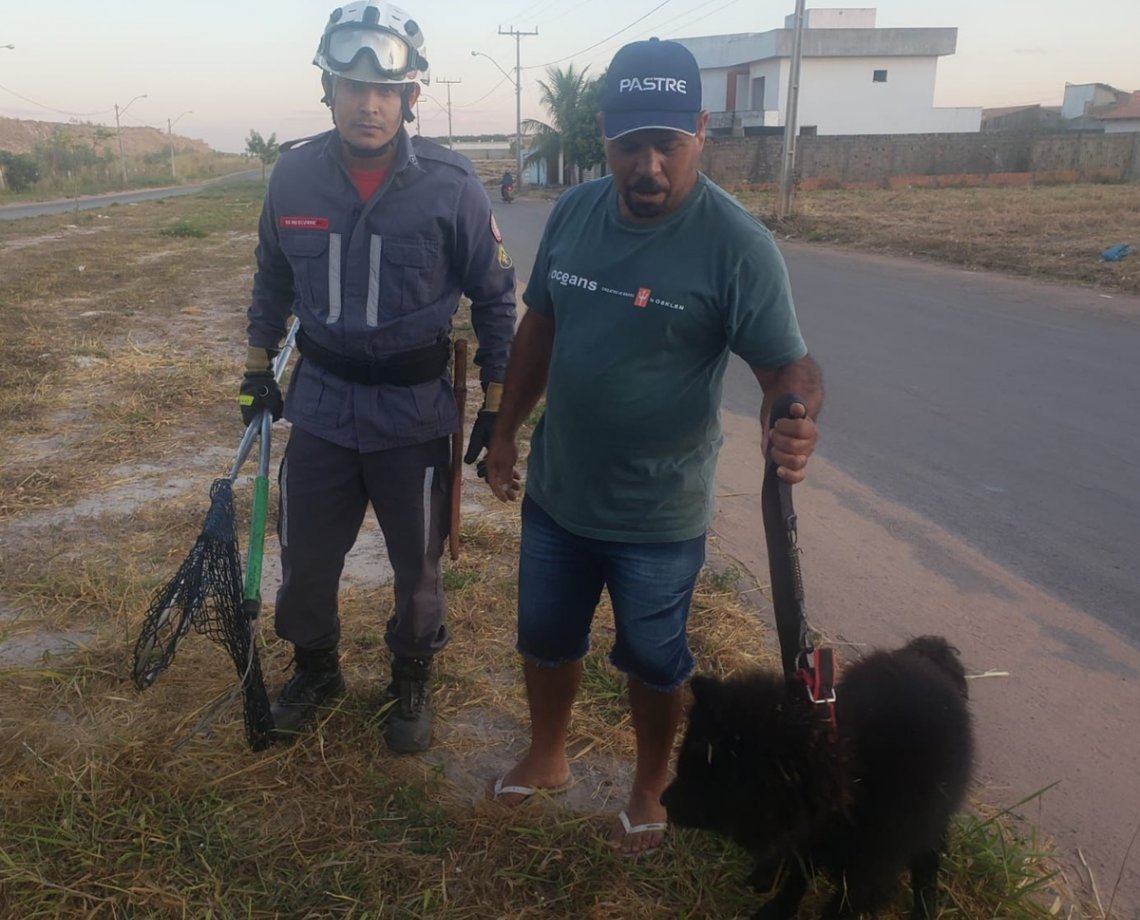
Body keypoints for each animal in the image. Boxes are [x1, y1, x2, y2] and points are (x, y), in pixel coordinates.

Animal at [661, 638, 971, 916]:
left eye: (707, 778)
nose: (663, 800)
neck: (851, 774)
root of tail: (933, 654)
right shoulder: (809, 839)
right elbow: (798, 878)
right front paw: (777, 909)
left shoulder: (868, 875)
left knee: (928, 860)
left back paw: (925, 906)